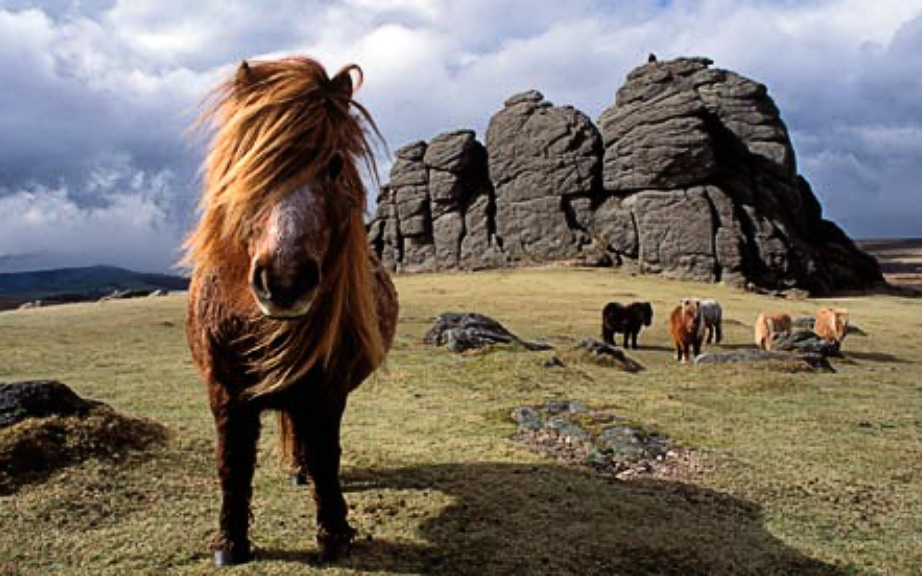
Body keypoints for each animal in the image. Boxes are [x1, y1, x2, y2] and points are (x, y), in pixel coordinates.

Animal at [184, 57, 399, 567]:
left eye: (334, 166)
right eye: (249, 162)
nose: (285, 280)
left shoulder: (327, 391)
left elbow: (326, 455)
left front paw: (335, 534)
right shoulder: (224, 392)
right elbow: (232, 463)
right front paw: (230, 543)